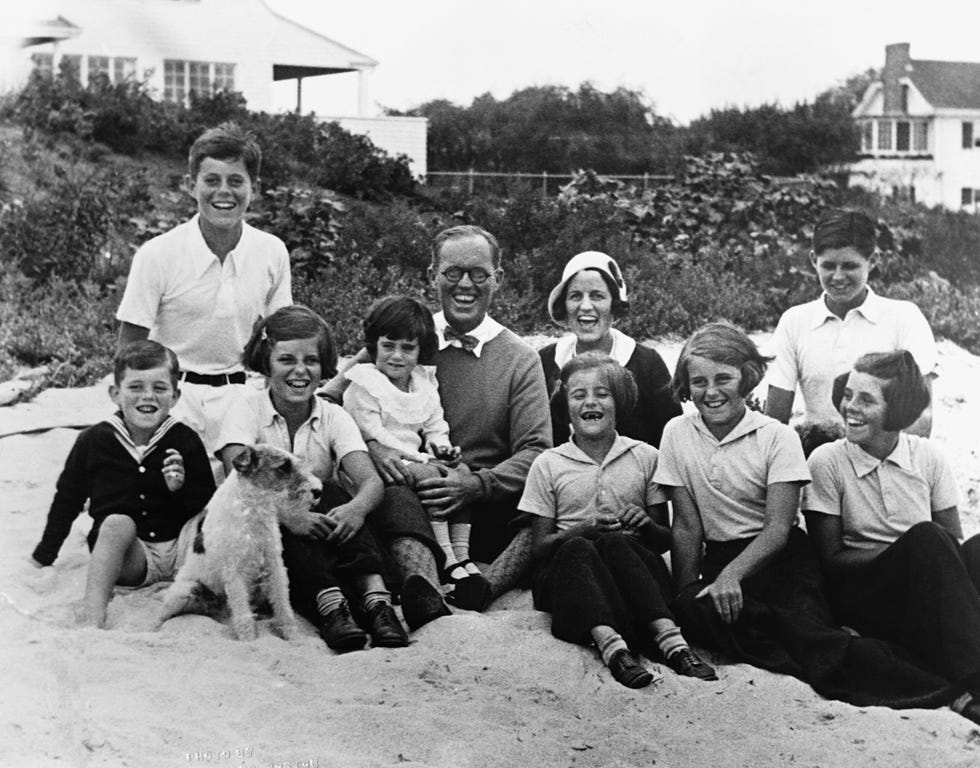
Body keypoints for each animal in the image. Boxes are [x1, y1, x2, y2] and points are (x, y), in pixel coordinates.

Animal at [159, 440, 322, 640]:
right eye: (283, 467)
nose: (318, 491)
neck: (252, 508)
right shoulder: (234, 571)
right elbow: (243, 613)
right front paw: (248, 639)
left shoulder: (274, 564)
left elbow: (282, 603)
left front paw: (292, 635)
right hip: (185, 591)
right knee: (164, 615)